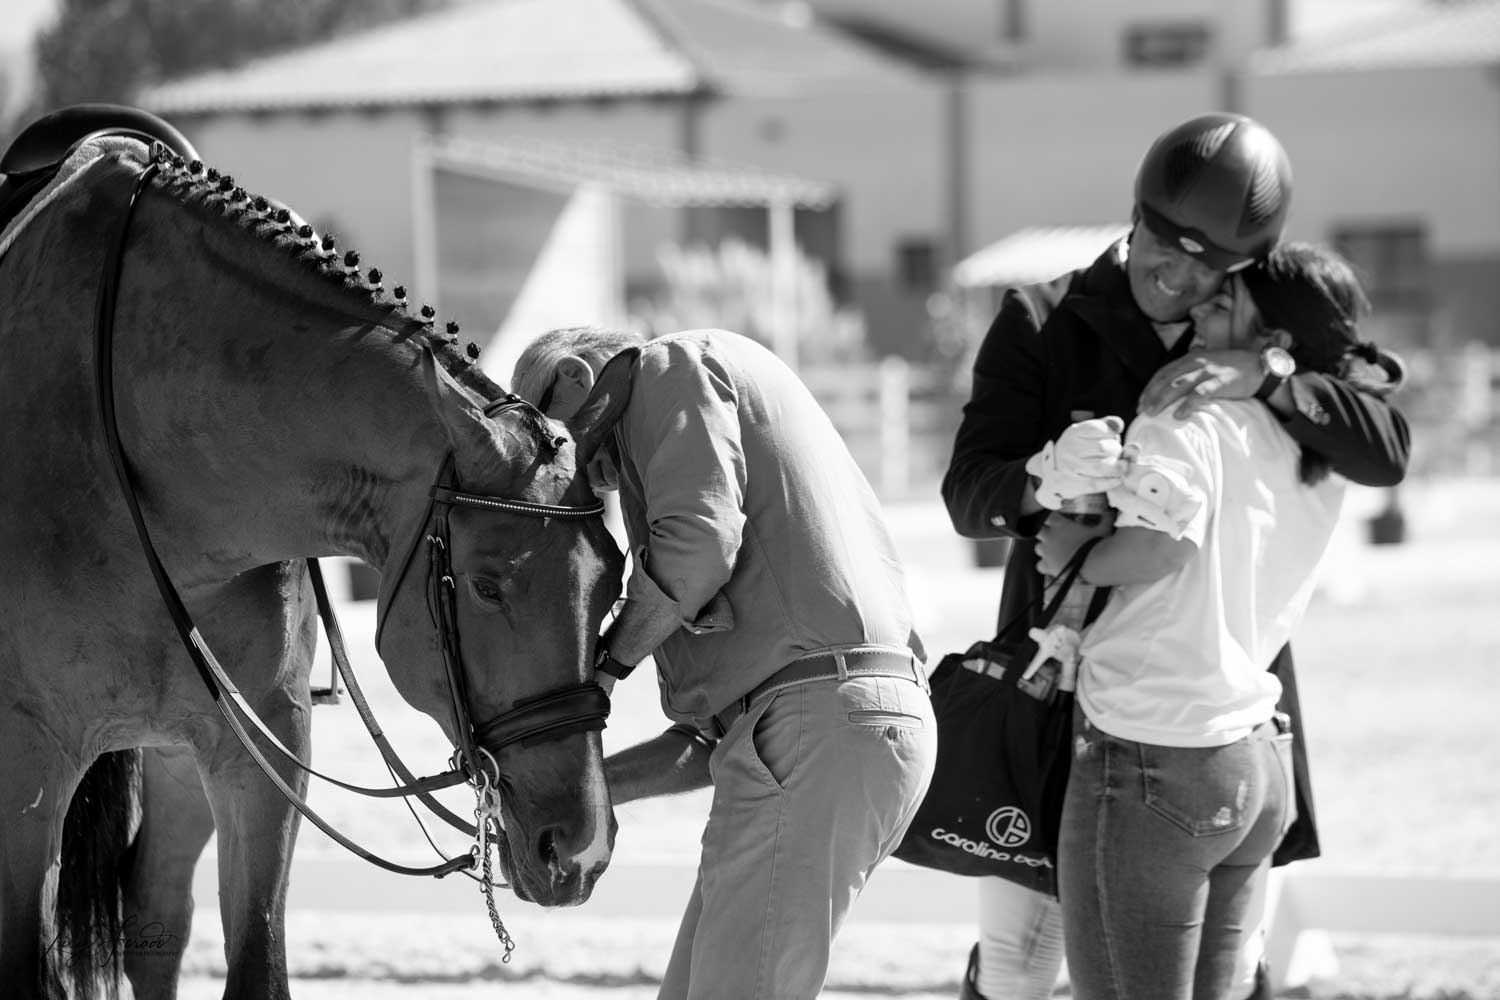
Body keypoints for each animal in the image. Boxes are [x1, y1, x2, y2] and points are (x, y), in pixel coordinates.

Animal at [0, 111, 627, 1000]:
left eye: (611, 582)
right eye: (486, 585)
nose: (577, 847)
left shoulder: (261, 749)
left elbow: (257, 962)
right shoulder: (26, 763)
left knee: (155, 916)